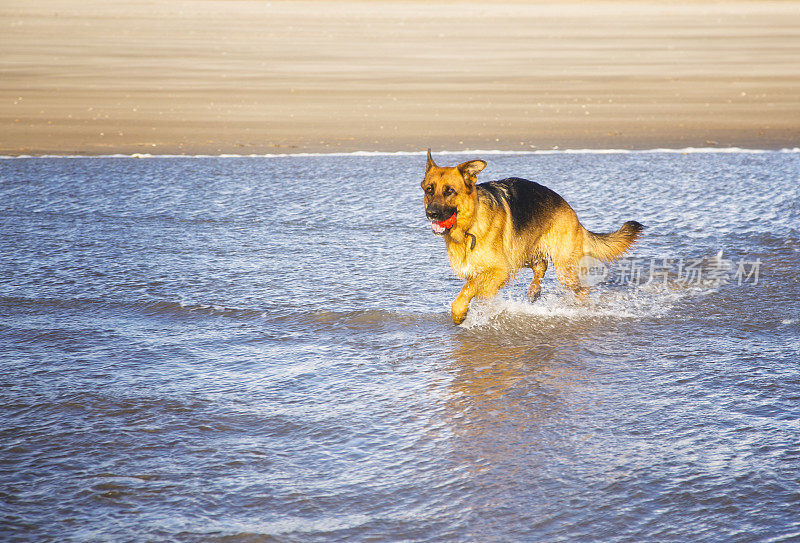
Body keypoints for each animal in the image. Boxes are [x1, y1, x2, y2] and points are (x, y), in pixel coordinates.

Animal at [424, 149, 644, 326]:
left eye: (449, 191)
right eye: (429, 190)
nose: (431, 214)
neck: (470, 225)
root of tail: (570, 211)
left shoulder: (500, 270)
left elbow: (468, 288)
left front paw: (459, 313)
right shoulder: (485, 273)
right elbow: (474, 288)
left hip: (562, 269)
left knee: (581, 290)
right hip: (523, 252)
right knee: (541, 266)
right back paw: (534, 290)